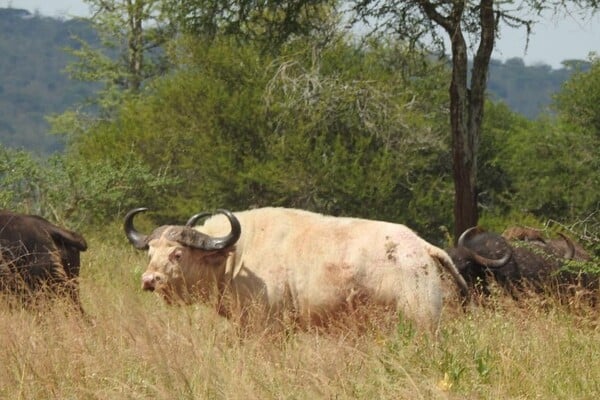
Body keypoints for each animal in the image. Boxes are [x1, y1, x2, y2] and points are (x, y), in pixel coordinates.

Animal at [123, 206, 468, 332]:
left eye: (178, 254)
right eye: (150, 251)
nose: (149, 280)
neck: (236, 256)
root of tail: (422, 247)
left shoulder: (266, 328)